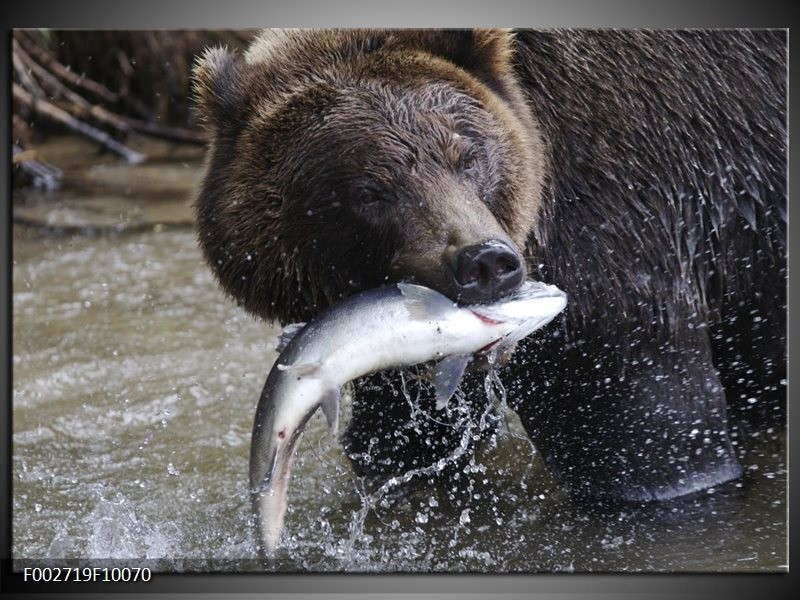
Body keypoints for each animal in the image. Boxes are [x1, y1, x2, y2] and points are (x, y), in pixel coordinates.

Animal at [191, 30, 784, 504]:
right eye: (367, 190)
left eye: (468, 157)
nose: (485, 261)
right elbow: (405, 441)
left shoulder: (626, 231)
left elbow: (646, 430)